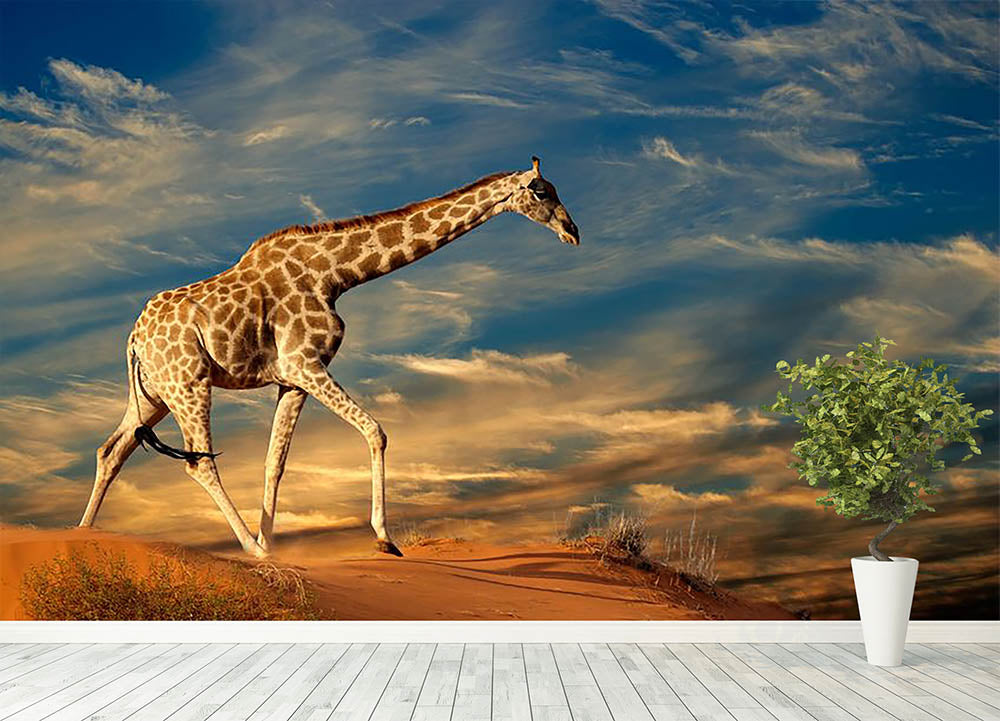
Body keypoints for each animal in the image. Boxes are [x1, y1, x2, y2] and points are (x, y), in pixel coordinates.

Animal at [79, 156, 580, 558]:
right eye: (542, 190)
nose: (572, 231)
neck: (337, 274)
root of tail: (133, 339)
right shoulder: (306, 363)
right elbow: (376, 431)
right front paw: (383, 539)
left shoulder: (291, 380)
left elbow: (275, 463)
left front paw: (273, 543)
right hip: (188, 383)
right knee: (198, 460)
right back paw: (248, 550)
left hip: (153, 393)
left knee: (111, 450)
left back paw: (83, 534)